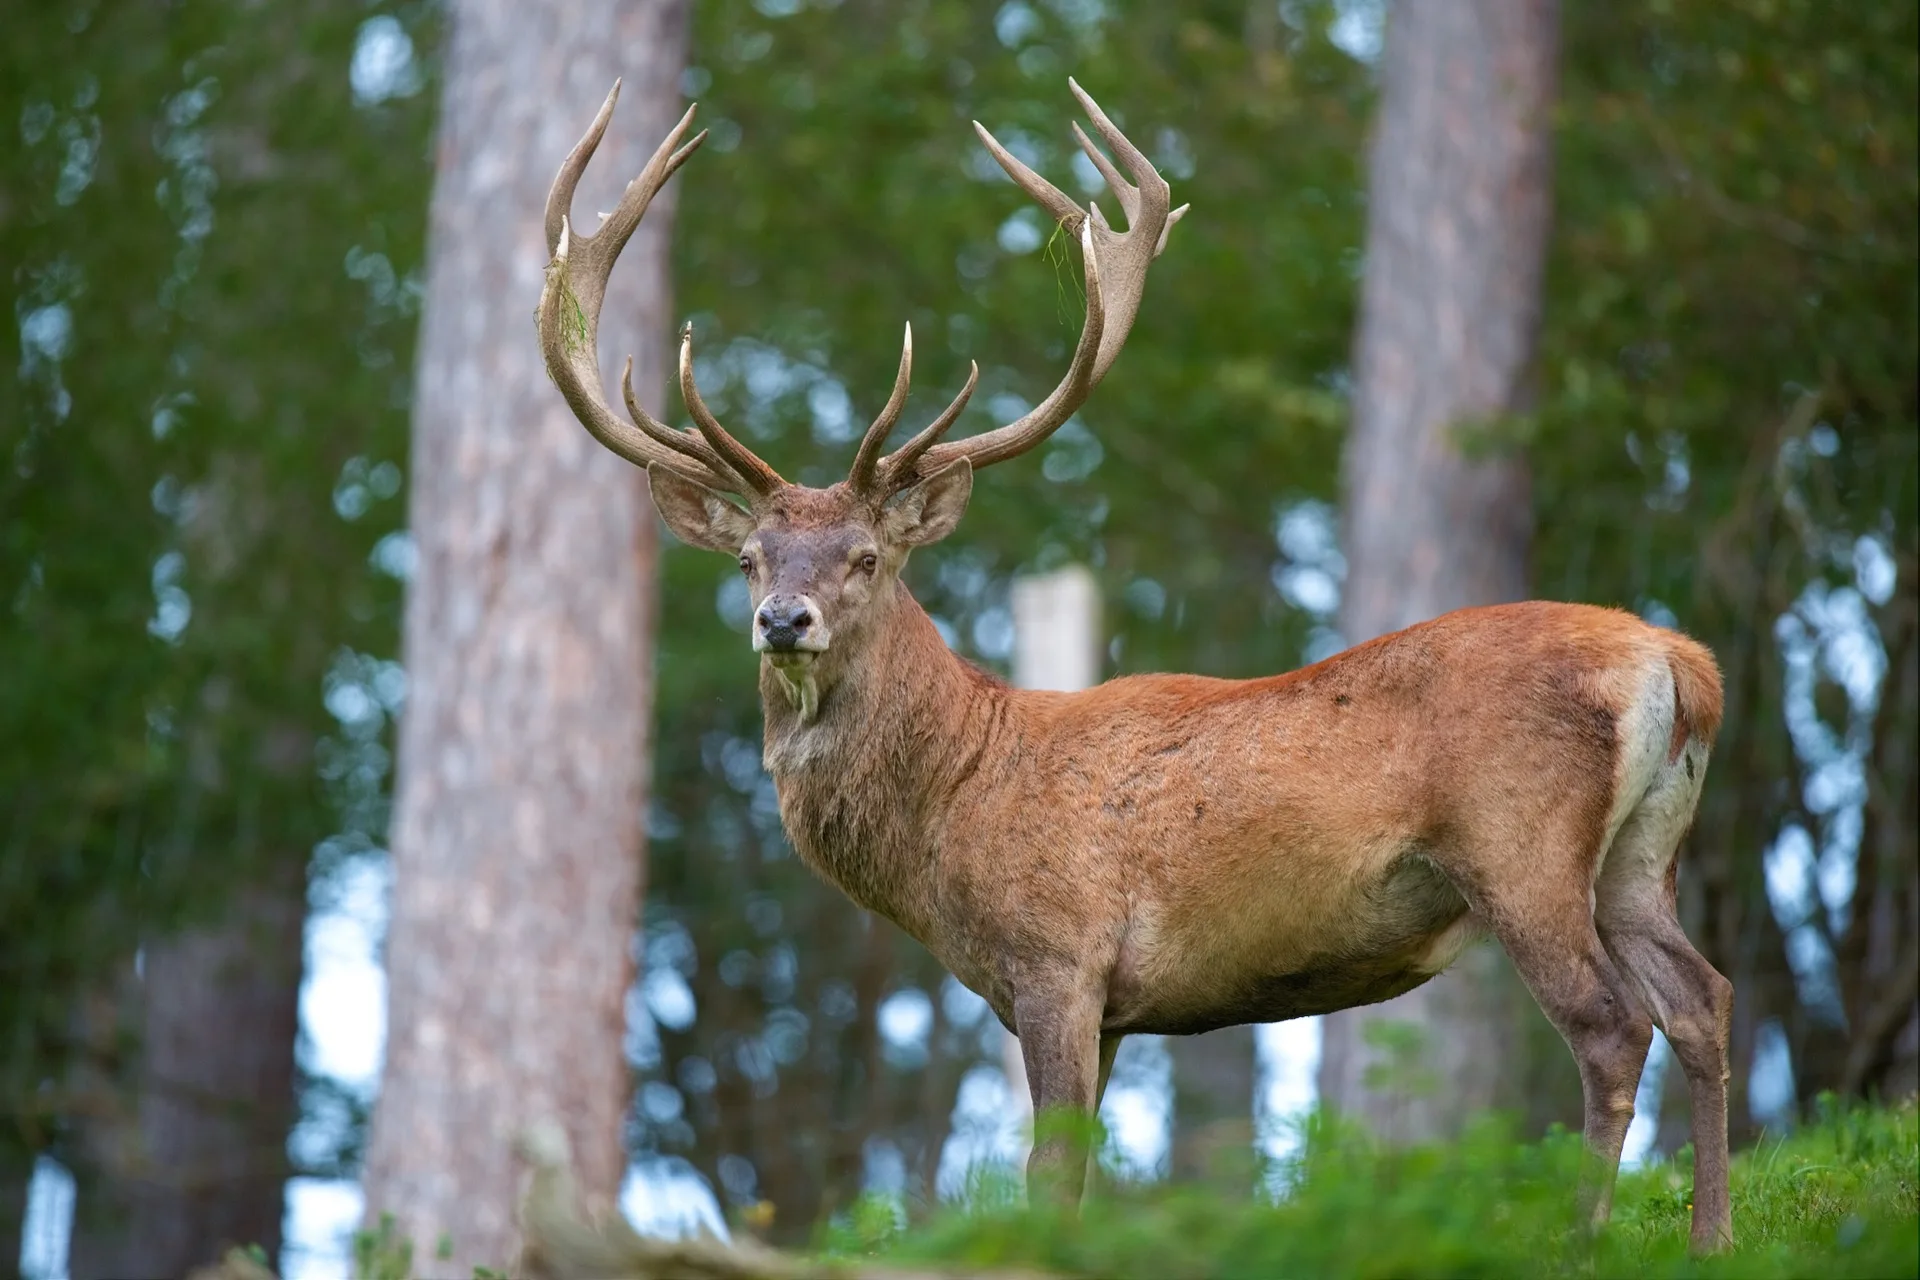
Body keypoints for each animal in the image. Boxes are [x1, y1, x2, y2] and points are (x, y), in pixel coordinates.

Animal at [535, 79, 1735, 1252]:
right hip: (1640, 855)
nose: (784, 619)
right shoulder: (1108, 1005)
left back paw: (1583, 1240)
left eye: (867, 557)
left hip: (1519, 842)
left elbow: (1050, 1174)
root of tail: (1680, 662)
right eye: (749, 558)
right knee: (1703, 997)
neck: (954, 805)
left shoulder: (1058, 958)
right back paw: (1712, 1237)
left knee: (1611, 1025)